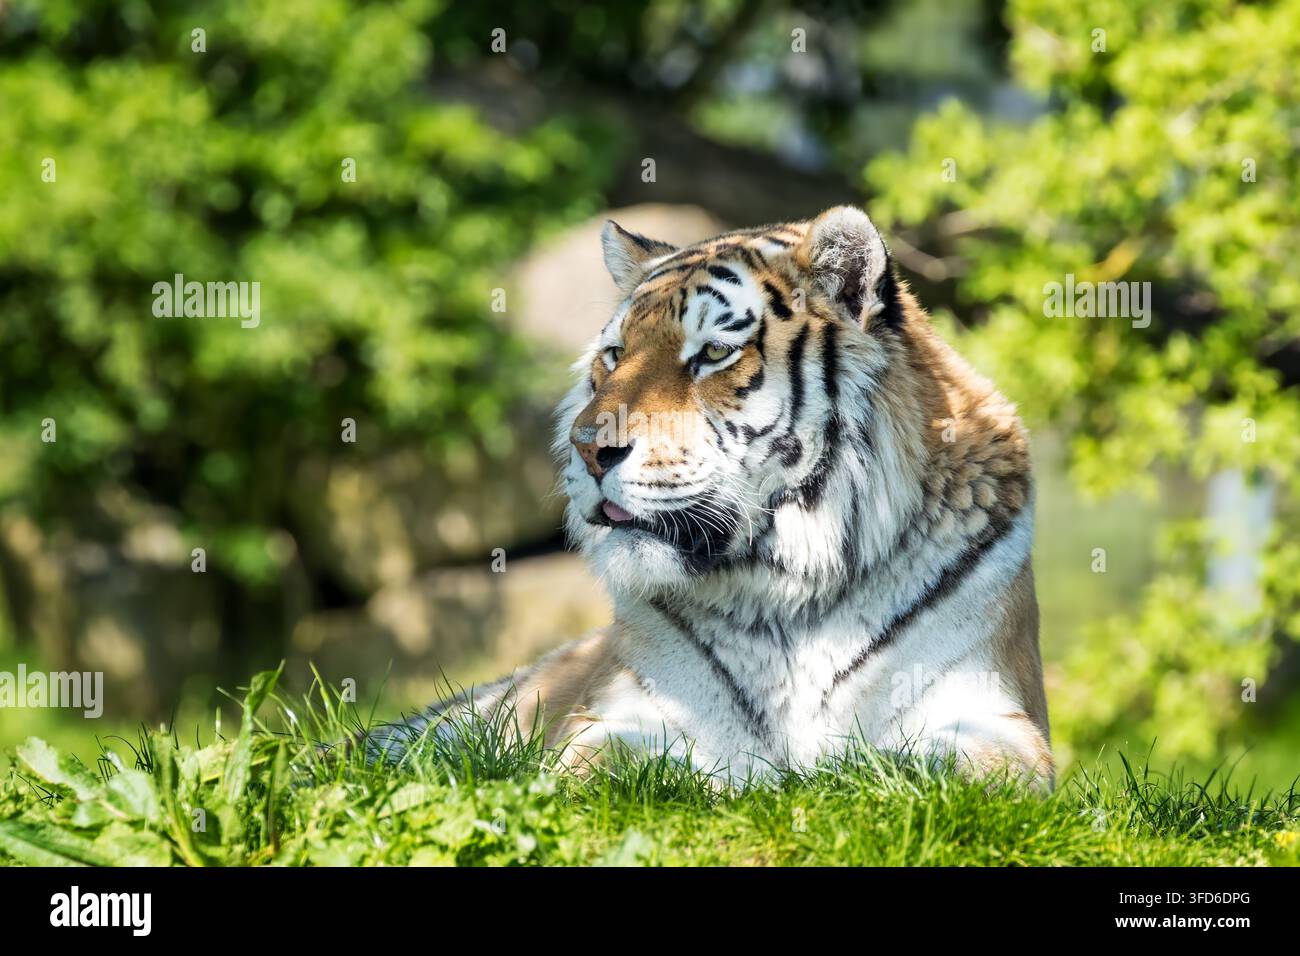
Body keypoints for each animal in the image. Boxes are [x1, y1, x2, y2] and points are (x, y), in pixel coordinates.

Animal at [380, 205, 1052, 787]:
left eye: (712, 353)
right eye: (615, 355)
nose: (587, 448)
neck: (787, 590)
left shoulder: (992, 713)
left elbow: (958, 767)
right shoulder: (622, 715)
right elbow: (596, 765)